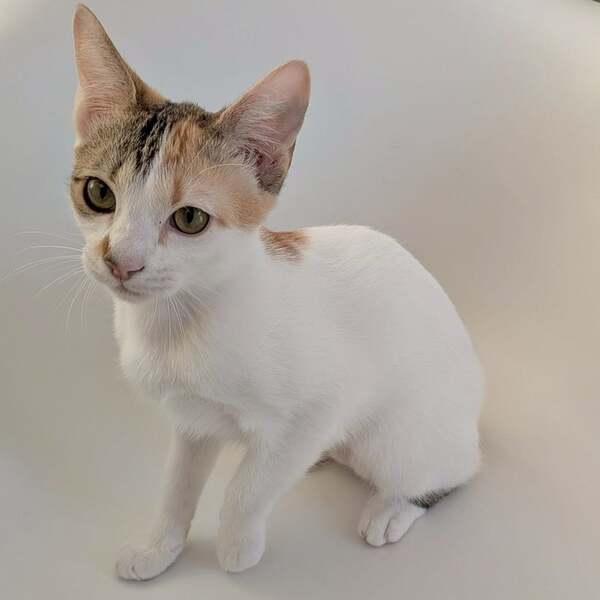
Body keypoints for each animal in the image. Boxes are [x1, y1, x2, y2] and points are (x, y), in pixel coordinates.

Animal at [70, 4, 483, 579]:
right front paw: (159, 548)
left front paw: (236, 547)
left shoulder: (325, 403)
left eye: (190, 219)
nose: (121, 261)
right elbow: (177, 486)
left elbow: (250, 485)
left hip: (399, 438)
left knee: (451, 471)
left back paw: (393, 507)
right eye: (98, 193)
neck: (182, 319)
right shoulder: (193, 421)